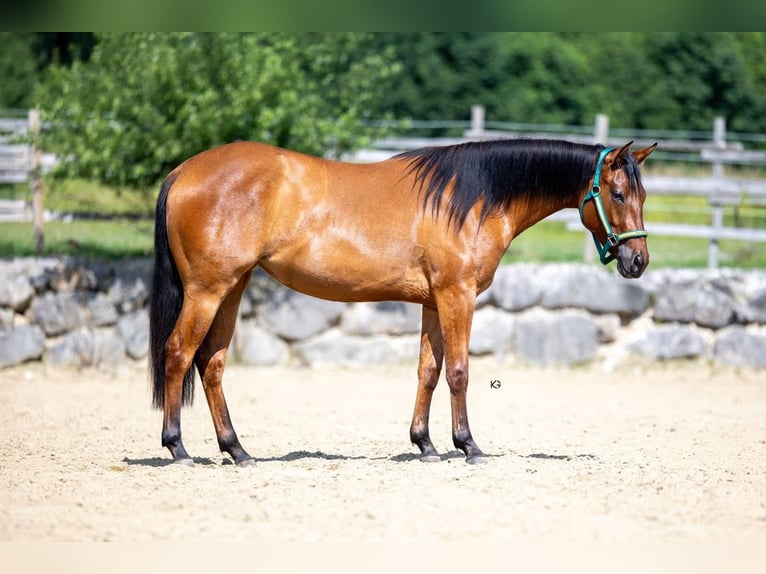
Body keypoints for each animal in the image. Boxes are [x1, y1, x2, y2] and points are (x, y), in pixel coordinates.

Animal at [149, 137, 656, 466]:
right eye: (616, 193)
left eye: (644, 194)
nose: (637, 261)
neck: (471, 198)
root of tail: (183, 171)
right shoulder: (457, 294)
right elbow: (458, 370)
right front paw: (468, 445)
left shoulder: (433, 301)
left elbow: (428, 371)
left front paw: (425, 445)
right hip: (208, 290)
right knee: (178, 353)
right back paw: (178, 448)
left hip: (231, 288)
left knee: (211, 363)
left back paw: (237, 450)